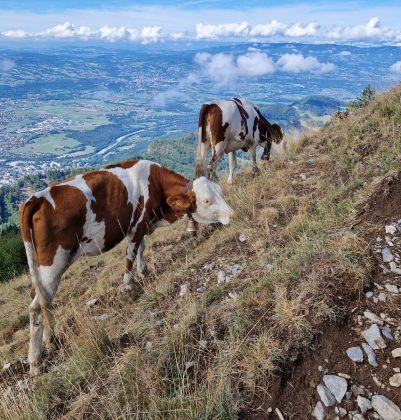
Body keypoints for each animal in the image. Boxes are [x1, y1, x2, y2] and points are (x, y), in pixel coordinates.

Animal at [18, 159, 231, 376]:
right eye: (207, 201)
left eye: (220, 192)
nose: (231, 214)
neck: (156, 183)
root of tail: (34, 199)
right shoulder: (138, 224)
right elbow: (130, 253)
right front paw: (128, 284)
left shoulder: (142, 225)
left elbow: (141, 248)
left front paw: (143, 271)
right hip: (52, 266)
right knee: (36, 307)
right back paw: (35, 361)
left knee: (41, 302)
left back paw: (44, 344)